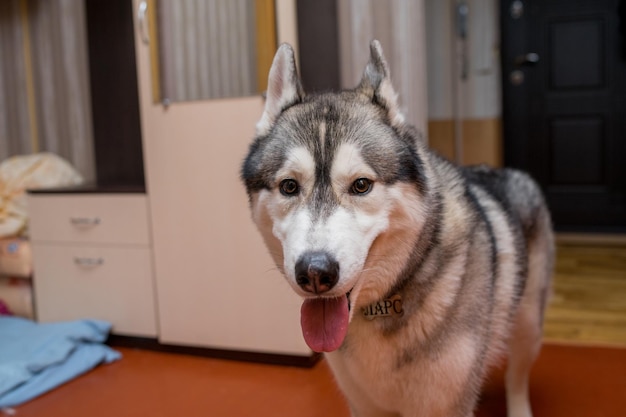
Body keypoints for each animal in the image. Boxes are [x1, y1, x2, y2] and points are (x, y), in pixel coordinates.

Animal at [239, 39, 552, 416]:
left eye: (361, 185)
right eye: (289, 186)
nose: (314, 273)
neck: (383, 304)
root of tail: (509, 171)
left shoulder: (445, 405)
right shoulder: (364, 404)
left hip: (528, 327)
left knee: (516, 379)